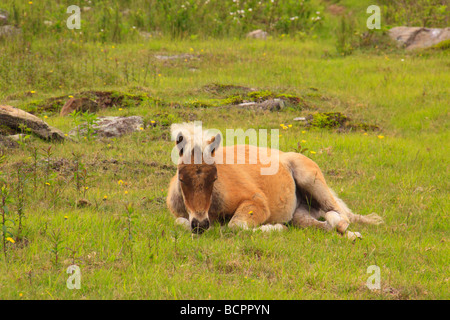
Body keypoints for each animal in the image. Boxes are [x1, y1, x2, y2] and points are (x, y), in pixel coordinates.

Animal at [165, 122, 384, 240]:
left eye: (215, 177)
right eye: (181, 177)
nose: (200, 224)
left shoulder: (257, 203)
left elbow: (237, 226)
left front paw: (276, 228)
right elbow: (179, 222)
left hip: (311, 181)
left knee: (342, 214)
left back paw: (351, 231)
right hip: (300, 213)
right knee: (318, 224)